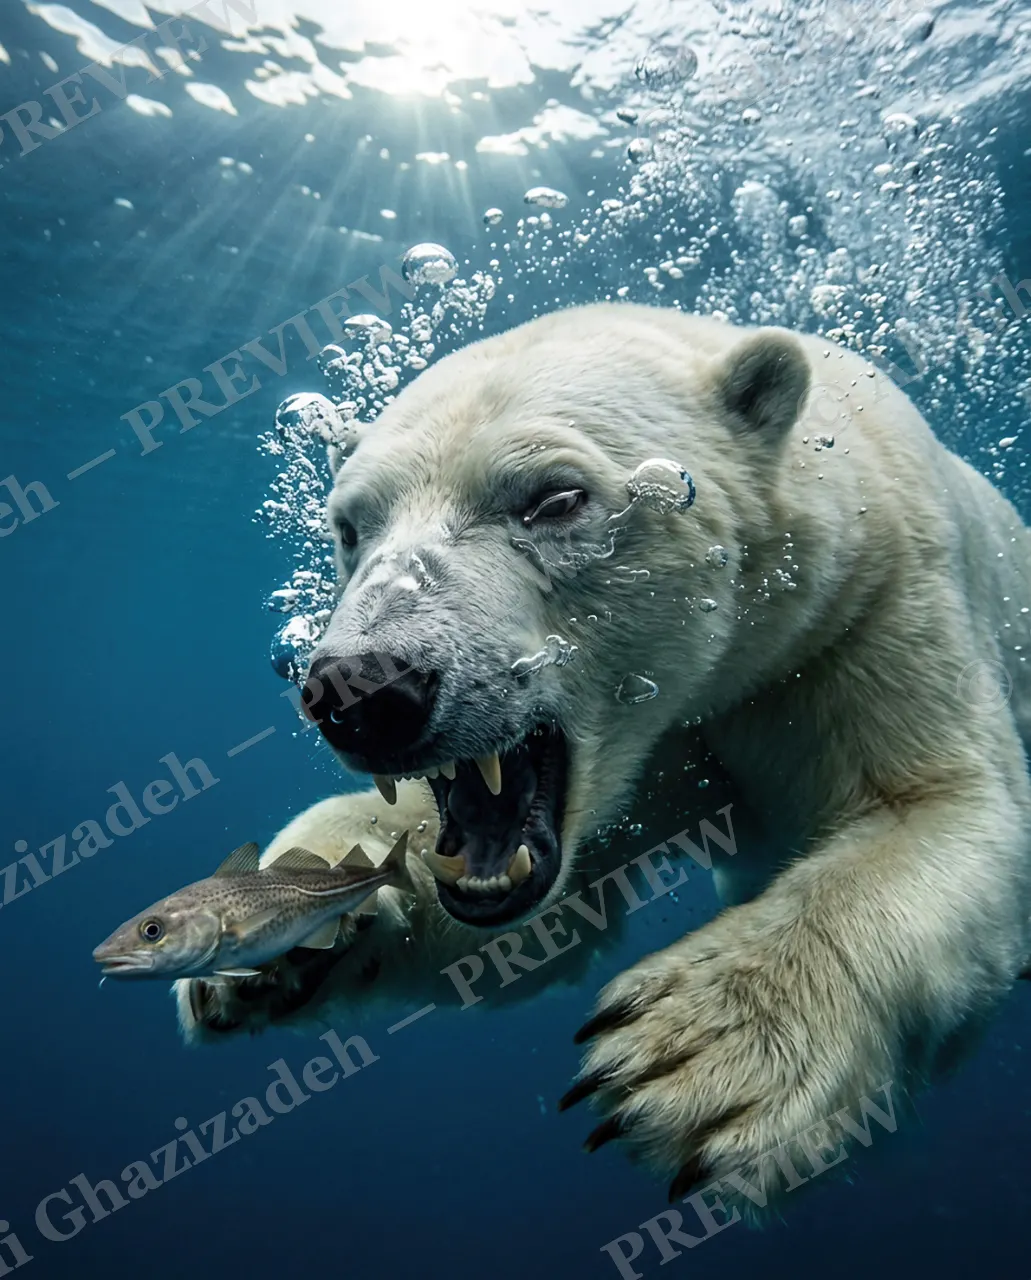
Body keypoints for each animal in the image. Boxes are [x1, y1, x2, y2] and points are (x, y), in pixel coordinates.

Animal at [176, 302, 1031, 1209]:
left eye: (554, 498)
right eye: (348, 527)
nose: (362, 689)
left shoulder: (860, 609)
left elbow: (941, 805)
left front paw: (695, 1055)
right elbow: (532, 924)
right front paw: (264, 935)